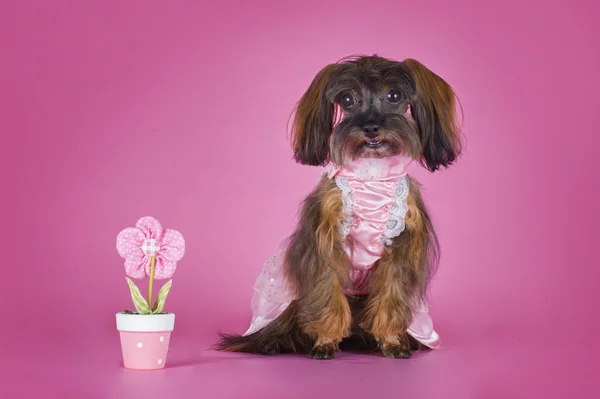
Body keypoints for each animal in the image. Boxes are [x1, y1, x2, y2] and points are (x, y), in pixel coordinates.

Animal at [217, 54, 464, 360]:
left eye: (394, 95)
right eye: (347, 99)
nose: (370, 126)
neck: (371, 175)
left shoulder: (402, 245)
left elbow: (392, 296)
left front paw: (392, 341)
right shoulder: (325, 242)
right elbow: (326, 293)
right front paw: (325, 341)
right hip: (286, 302)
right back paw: (271, 342)